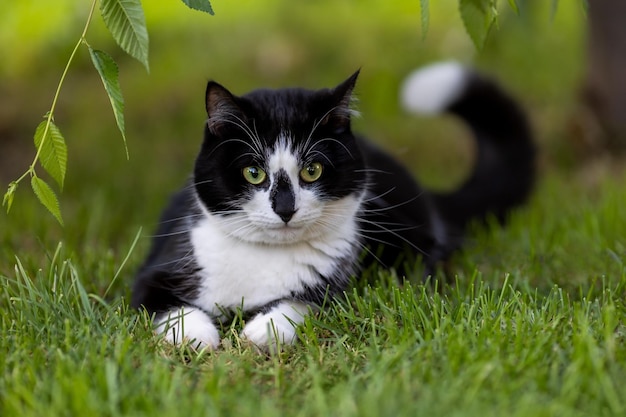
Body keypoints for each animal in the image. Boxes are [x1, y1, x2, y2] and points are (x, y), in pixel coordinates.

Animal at [130, 61, 532, 348]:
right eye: (253, 173)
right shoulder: (159, 266)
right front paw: (198, 335)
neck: (264, 257)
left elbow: (308, 302)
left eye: (312, 170)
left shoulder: (341, 282)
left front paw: (265, 329)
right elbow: (164, 302)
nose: (286, 208)